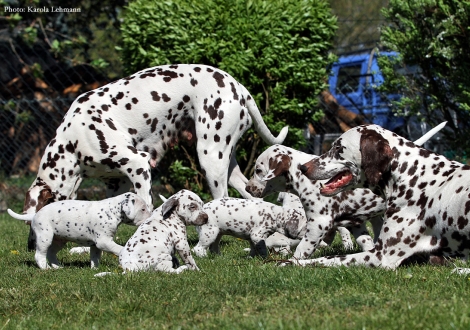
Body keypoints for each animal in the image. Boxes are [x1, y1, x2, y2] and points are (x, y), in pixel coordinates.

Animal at [23, 63, 286, 250]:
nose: (31, 246)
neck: (73, 142)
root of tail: (238, 86)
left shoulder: (138, 165)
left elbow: (146, 205)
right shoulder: (116, 183)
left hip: (211, 158)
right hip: (226, 163)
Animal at [298, 122, 470, 270]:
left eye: (338, 147)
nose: (303, 167)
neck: (411, 174)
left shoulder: (380, 256)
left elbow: (326, 259)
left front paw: (294, 263)